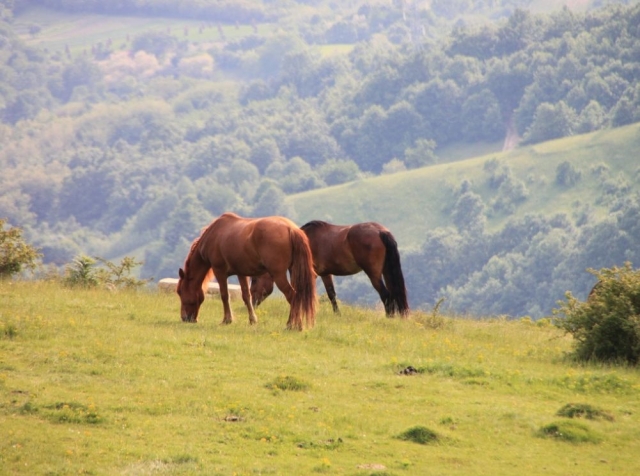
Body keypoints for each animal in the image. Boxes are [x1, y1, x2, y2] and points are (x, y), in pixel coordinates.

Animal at [177, 212, 317, 331]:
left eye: (180, 292)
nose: (185, 318)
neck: (214, 234)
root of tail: (291, 229)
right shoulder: (241, 273)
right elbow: (246, 296)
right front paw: (252, 320)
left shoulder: (219, 271)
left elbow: (224, 295)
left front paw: (227, 320)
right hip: (293, 271)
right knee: (297, 296)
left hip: (279, 275)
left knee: (292, 296)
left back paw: (293, 325)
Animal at [250, 220, 409, 317]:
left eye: (254, 281)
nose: (252, 304)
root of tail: (380, 231)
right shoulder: (326, 274)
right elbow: (331, 294)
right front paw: (337, 314)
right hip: (386, 271)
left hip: (374, 274)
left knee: (386, 295)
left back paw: (389, 317)